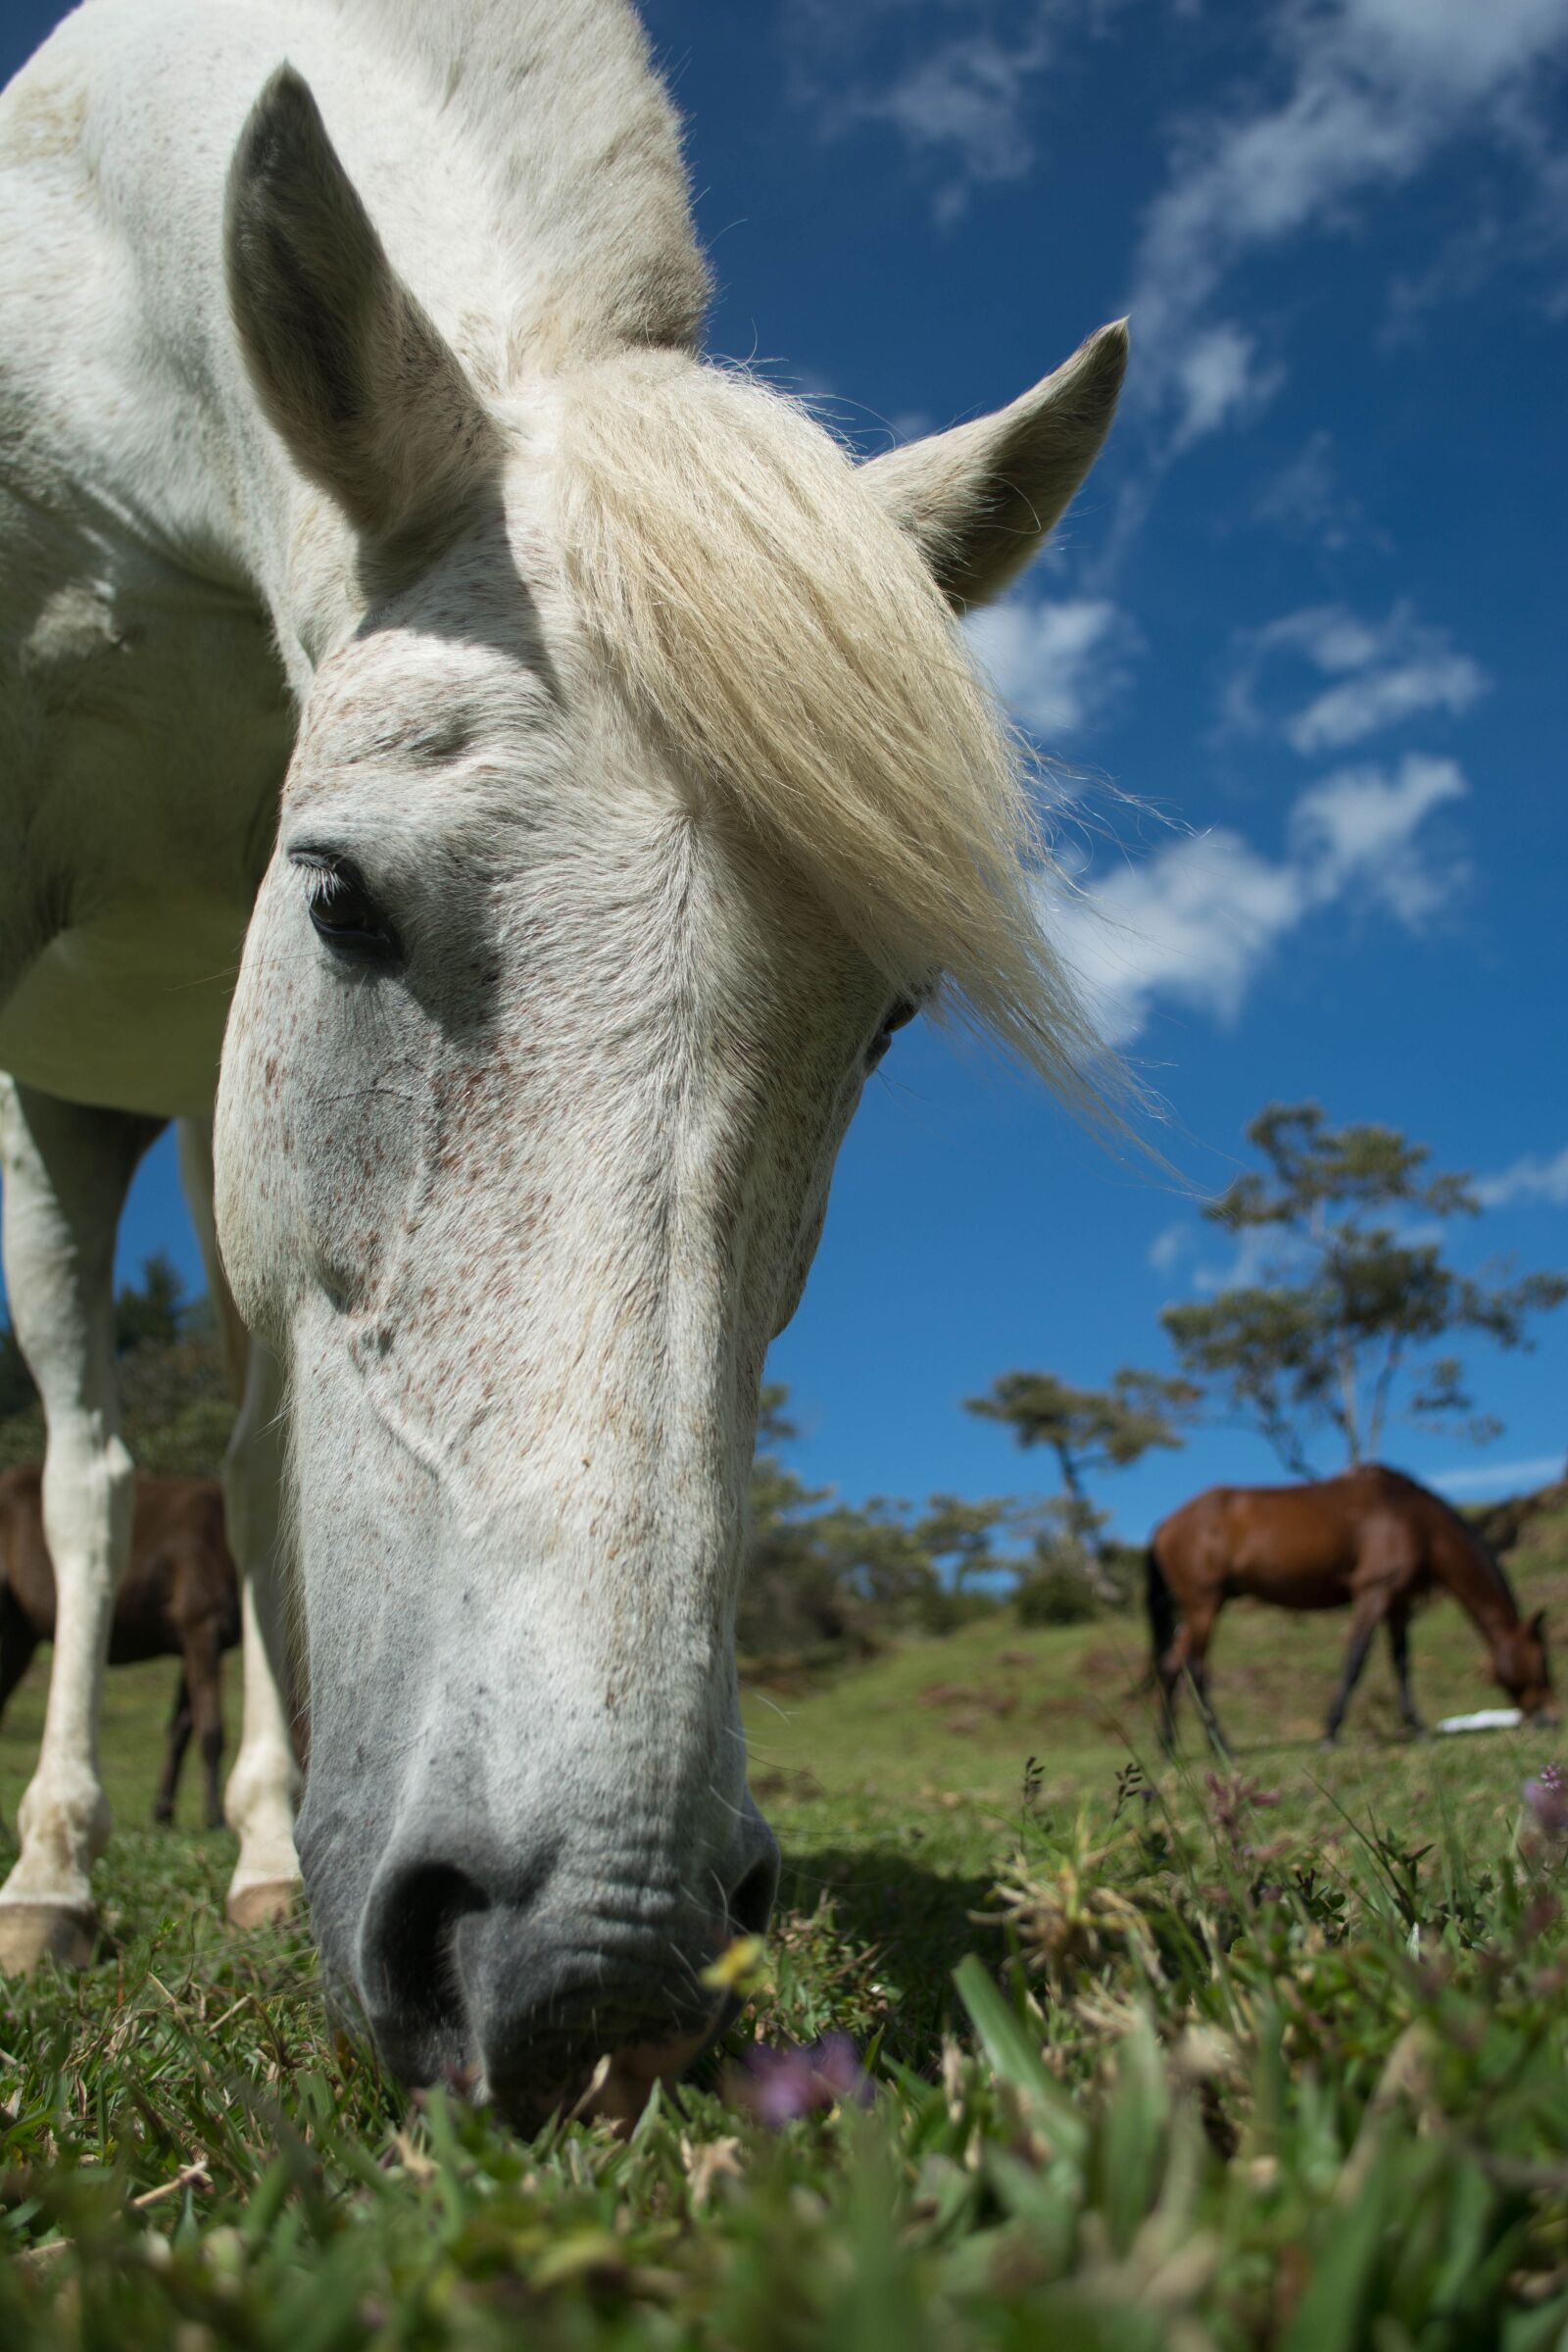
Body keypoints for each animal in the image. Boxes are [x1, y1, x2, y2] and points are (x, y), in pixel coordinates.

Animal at [0, 1466, 240, 1829]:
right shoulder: (202, 1627)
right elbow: (210, 1729)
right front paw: (216, 1818)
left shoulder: (195, 1645)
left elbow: (181, 1728)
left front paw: (163, 1810)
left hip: (19, 1635)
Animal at [1146, 1464, 1555, 1753]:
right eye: (1541, 1660)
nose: (1546, 1716)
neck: (1417, 1520)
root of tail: (1164, 1524)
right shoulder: (1374, 1590)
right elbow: (1356, 1658)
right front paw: (1330, 1732)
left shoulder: (1399, 1601)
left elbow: (1401, 1662)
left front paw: (1417, 1726)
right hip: (1204, 1602)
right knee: (1196, 1667)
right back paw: (1220, 1743)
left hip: (1201, 1605)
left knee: (1171, 1664)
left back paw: (1168, 1744)